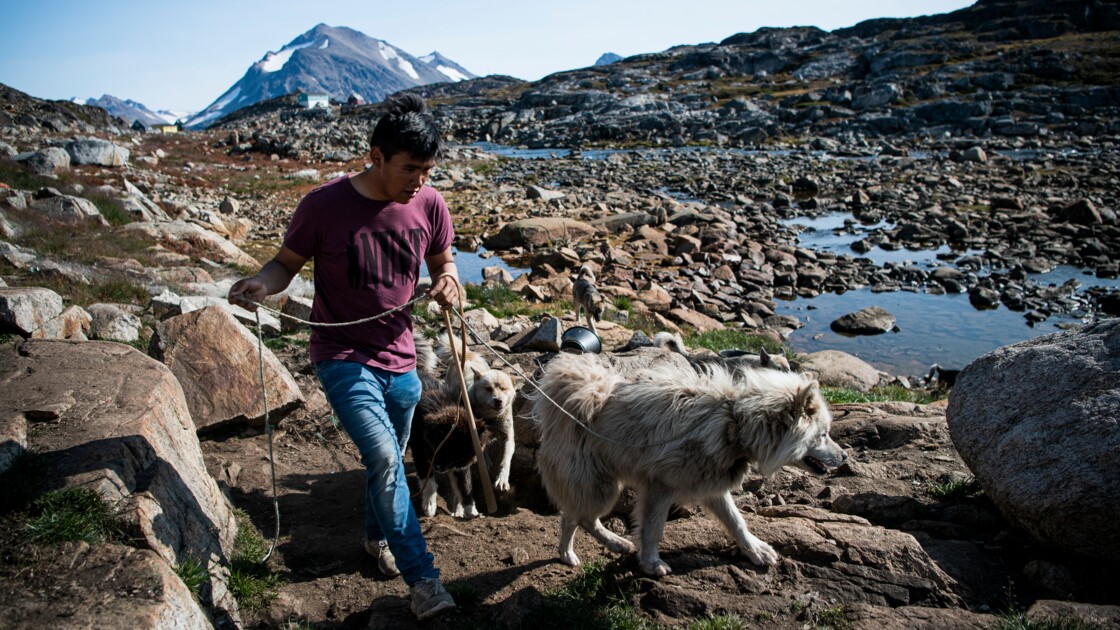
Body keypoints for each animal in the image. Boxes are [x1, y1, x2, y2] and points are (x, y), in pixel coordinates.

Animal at [528, 349, 842, 578]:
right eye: (823, 434)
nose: (845, 457)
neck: (734, 424)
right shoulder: (659, 486)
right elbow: (653, 529)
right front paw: (651, 564)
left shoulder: (712, 486)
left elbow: (737, 521)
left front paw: (754, 550)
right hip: (600, 486)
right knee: (582, 517)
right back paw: (598, 546)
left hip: (598, 483)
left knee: (573, 516)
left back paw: (575, 551)